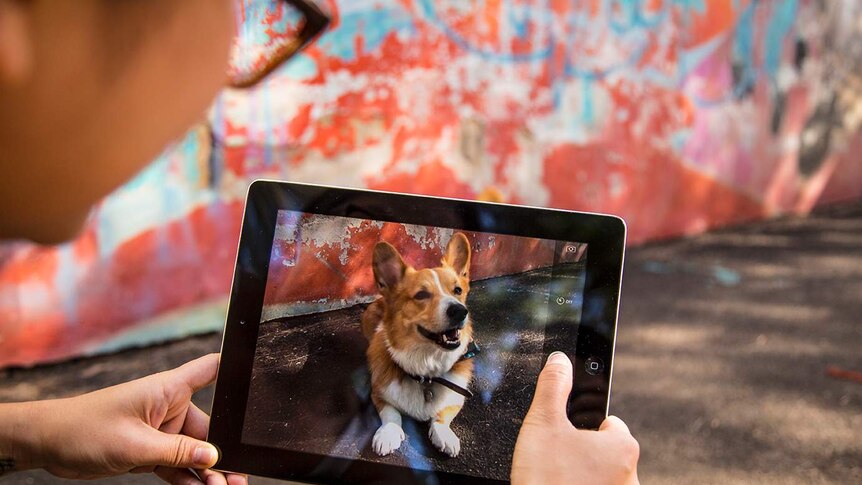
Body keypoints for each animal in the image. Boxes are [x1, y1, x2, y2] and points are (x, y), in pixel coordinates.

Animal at [362, 233, 476, 456]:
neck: (426, 370)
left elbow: (443, 413)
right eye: (421, 295)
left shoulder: (457, 396)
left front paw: (445, 435)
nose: (460, 311)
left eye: (458, 290)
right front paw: (388, 433)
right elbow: (391, 413)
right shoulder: (378, 394)